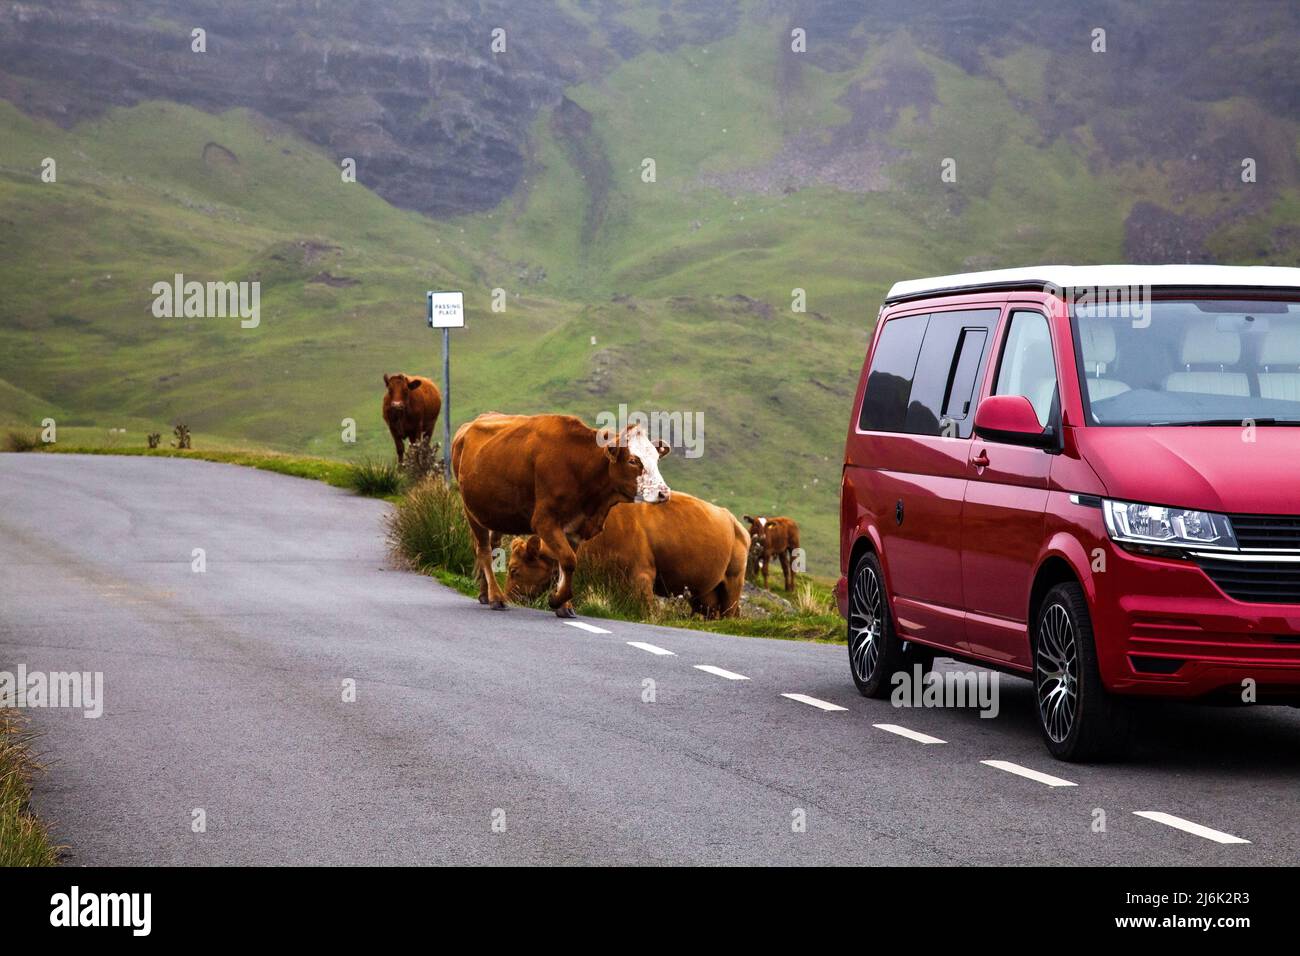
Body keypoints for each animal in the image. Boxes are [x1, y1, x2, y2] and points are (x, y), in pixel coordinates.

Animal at [452, 416, 670, 616]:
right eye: (633, 461)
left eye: (656, 460)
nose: (664, 493)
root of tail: (470, 424)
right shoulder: (544, 522)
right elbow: (568, 561)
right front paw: (556, 600)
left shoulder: (576, 528)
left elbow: (564, 566)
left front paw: (564, 606)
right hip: (471, 511)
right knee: (484, 551)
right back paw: (496, 597)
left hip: (495, 515)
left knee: (494, 547)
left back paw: (484, 593)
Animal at [506, 494, 754, 621]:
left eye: (514, 570)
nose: (508, 597)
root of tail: (733, 521)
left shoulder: (641, 576)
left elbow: (648, 611)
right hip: (705, 594)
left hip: (733, 583)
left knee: (731, 613)